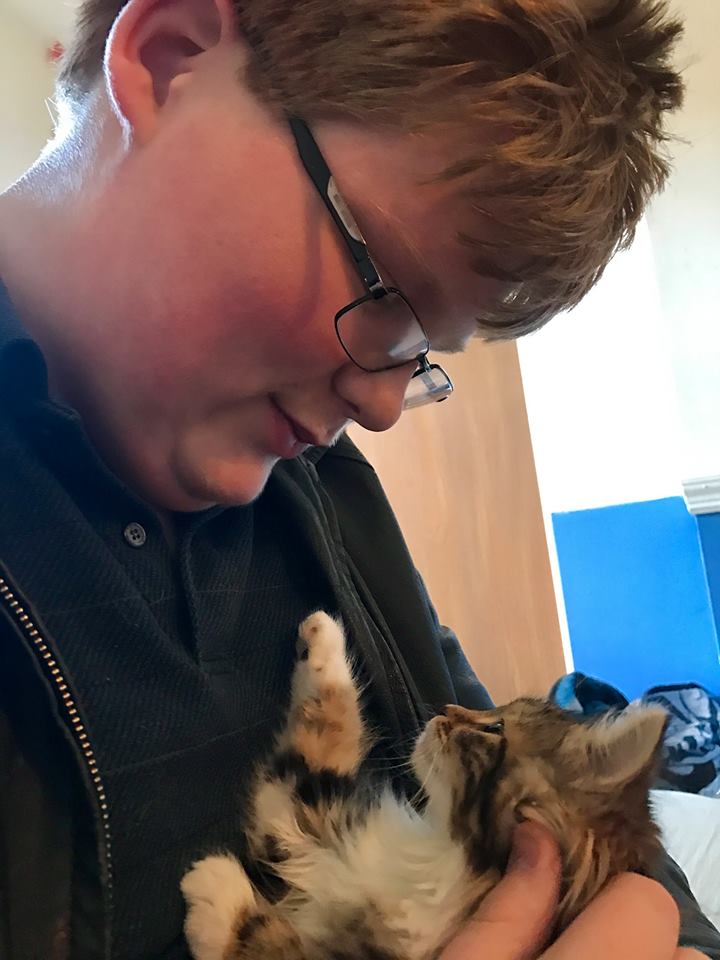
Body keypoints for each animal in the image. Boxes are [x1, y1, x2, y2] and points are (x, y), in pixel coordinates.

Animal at [181, 611, 666, 960]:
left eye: (495, 727)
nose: (444, 709)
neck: (446, 863)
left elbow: (267, 942)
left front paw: (215, 890)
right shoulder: (304, 818)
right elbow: (323, 727)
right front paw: (322, 638)